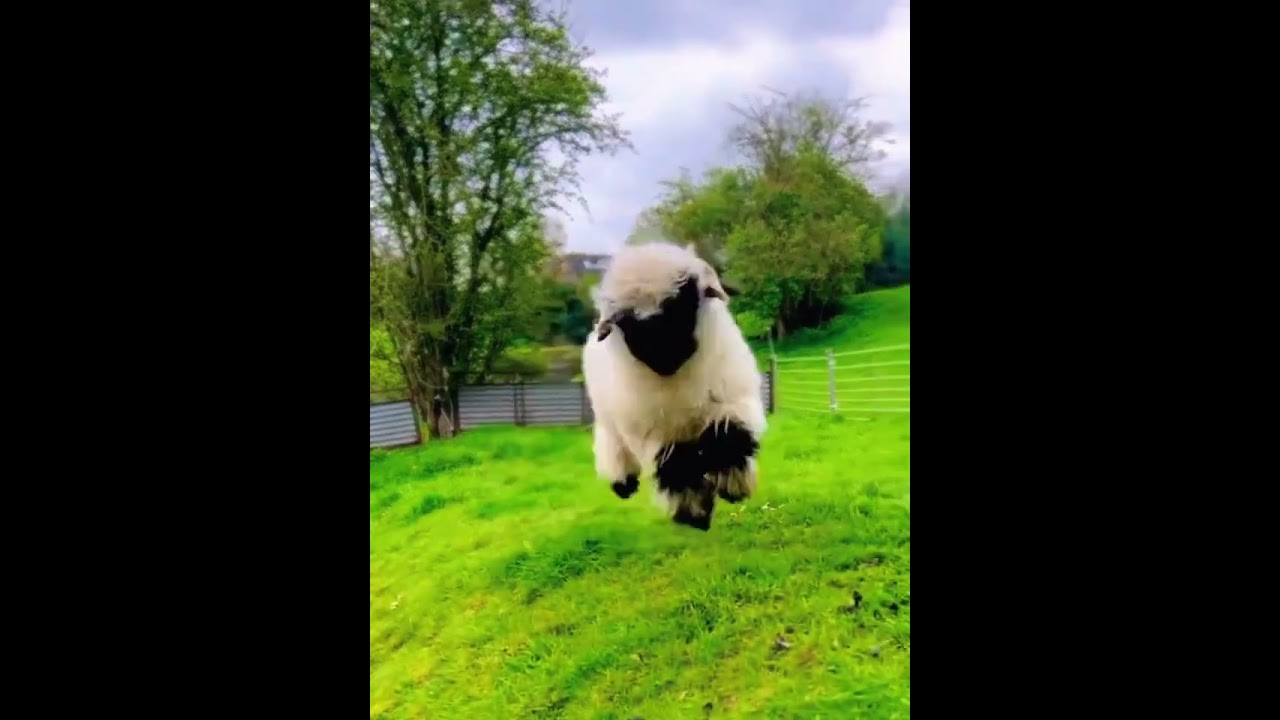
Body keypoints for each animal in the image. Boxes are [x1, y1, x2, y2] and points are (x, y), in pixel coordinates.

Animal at [582, 241, 766, 530]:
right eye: (627, 322)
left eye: (681, 304)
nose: (663, 353)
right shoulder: (655, 436)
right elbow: (677, 470)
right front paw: (694, 515)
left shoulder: (734, 401)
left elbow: (728, 439)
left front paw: (733, 488)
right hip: (611, 421)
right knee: (612, 444)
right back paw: (622, 482)